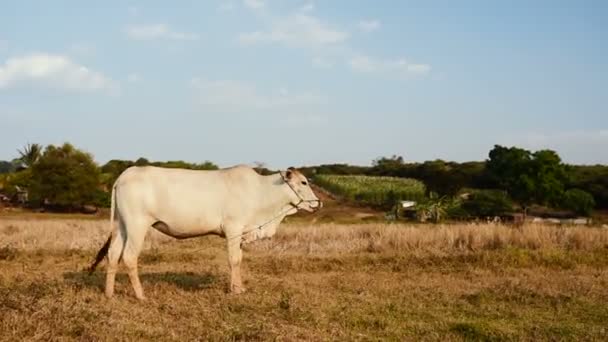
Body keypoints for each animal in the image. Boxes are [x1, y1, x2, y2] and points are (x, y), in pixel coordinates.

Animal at [89, 165, 324, 300]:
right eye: (303, 182)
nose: (318, 203)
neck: (262, 193)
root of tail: (124, 175)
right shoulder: (233, 228)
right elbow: (234, 260)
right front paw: (234, 290)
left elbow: (239, 259)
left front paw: (240, 288)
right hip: (137, 225)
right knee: (129, 257)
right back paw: (140, 295)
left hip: (122, 225)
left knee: (113, 255)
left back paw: (109, 294)